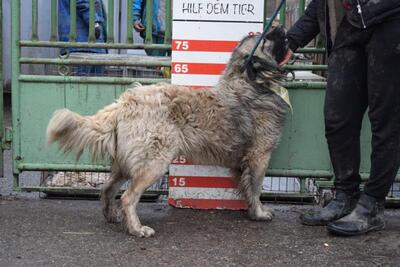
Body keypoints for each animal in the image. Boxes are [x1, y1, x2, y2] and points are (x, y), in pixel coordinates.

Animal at [47, 26, 290, 238]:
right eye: (267, 38)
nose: (281, 27)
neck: (249, 81)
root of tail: (125, 103)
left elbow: (246, 187)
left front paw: (250, 209)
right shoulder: (259, 155)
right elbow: (256, 187)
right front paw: (259, 213)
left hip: (125, 163)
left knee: (107, 188)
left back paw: (112, 216)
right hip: (154, 163)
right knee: (127, 197)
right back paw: (136, 229)